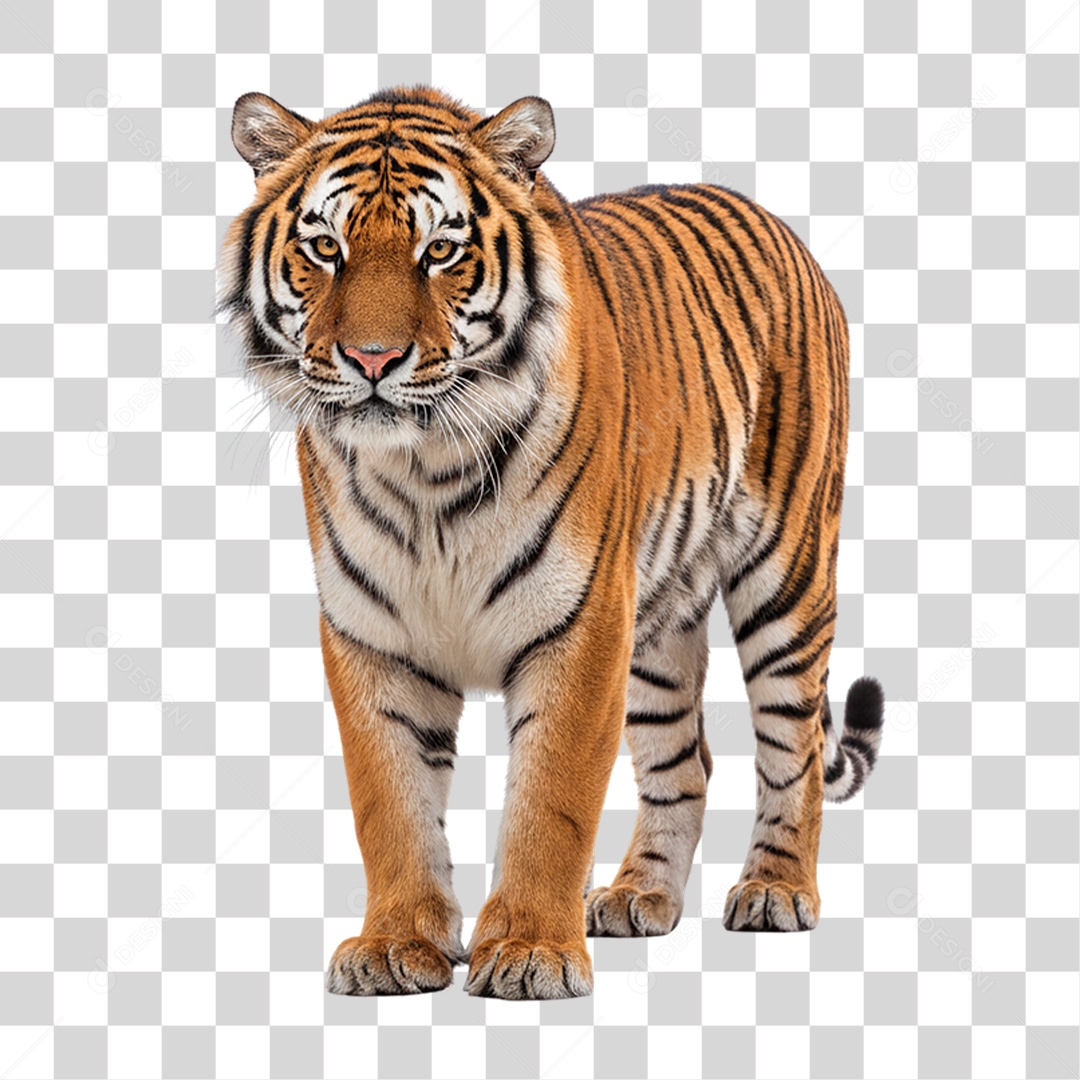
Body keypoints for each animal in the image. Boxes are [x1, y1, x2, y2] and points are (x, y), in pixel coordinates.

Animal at [220, 85, 885, 1000]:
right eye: (326, 247)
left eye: (440, 250)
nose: (373, 359)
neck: (424, 471)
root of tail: (776, 221)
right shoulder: (372, 635)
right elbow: (390, 801)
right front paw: (396, 945)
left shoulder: (580, 624)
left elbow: (551, 799)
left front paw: (531, 950)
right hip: (656, 627)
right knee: (687, 761)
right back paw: (640, 897)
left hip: (786, 576)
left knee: (796, 746)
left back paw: (776, 890)